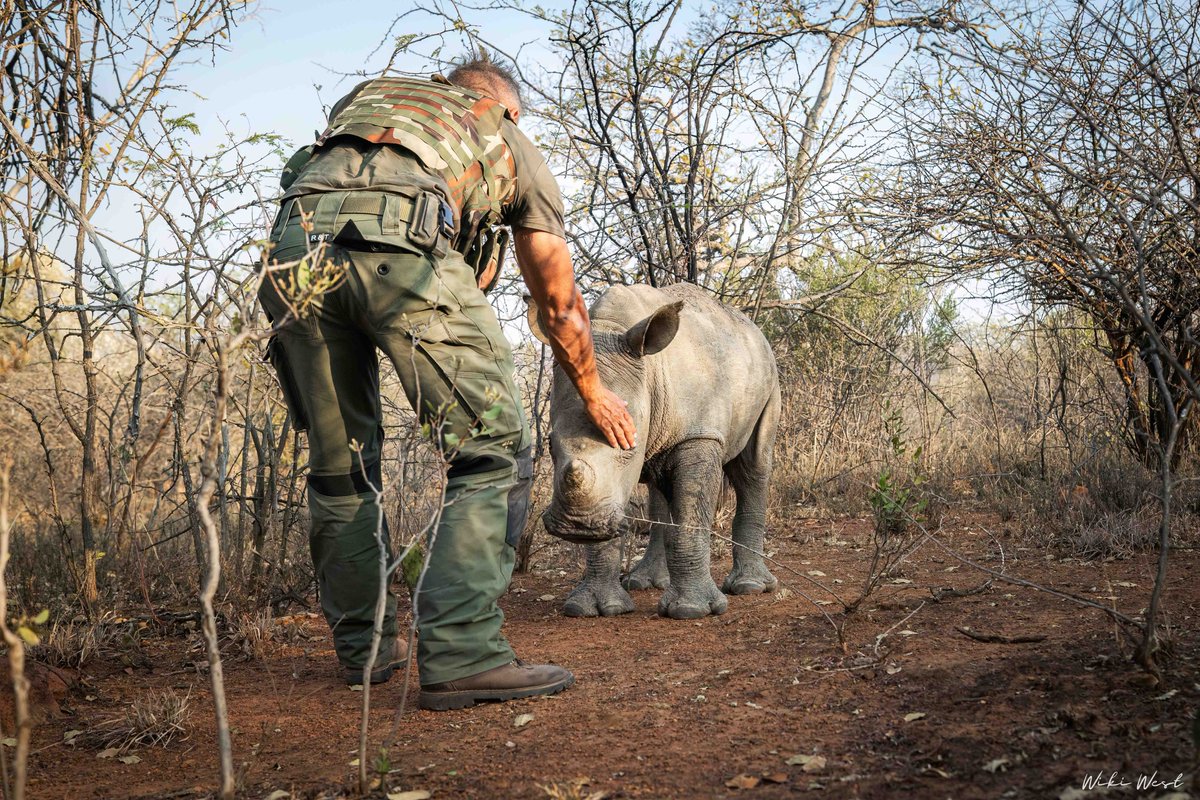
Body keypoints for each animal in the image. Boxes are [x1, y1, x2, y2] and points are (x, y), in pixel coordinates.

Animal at [532, 282, 780, 619]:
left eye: (628, 446)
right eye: (550, 446)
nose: (576, 526)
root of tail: (754, 330)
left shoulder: (699, 434)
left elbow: (692, 514)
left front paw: (690, 610)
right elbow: (609, 508)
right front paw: (592, 608)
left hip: (769, 374)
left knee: (754, 467)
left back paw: (750, 587)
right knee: (659, 485)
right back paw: (645, 582)